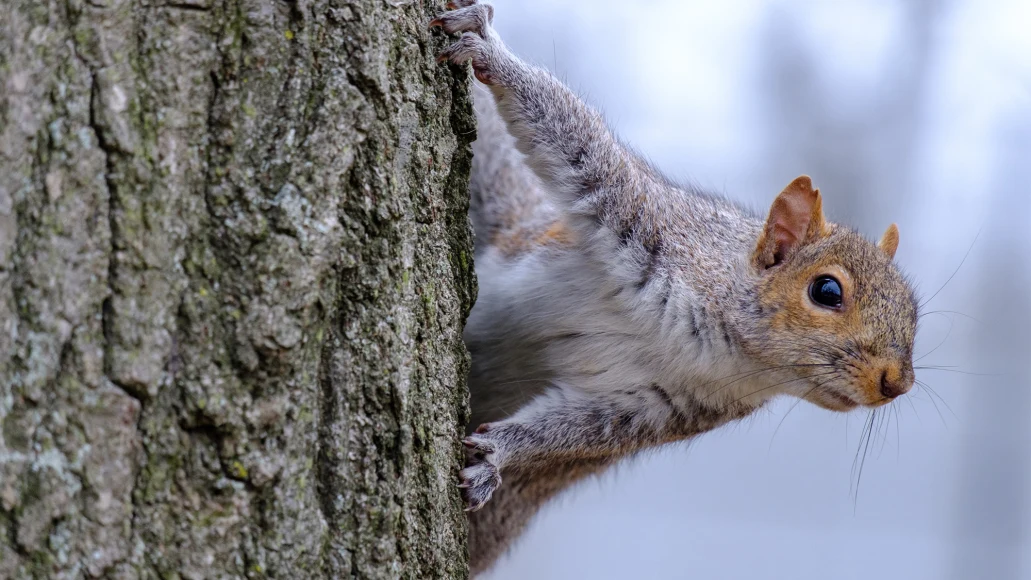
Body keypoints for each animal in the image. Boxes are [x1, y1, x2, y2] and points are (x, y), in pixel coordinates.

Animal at [426, 0, 919, 572]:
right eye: (827, 292)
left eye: (914, 309)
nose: (897, 384)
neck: (721, 346)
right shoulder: (645, 220)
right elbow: (572, 136)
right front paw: (491, 51)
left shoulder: (661, 408)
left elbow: (573, 433)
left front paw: (498, 454)